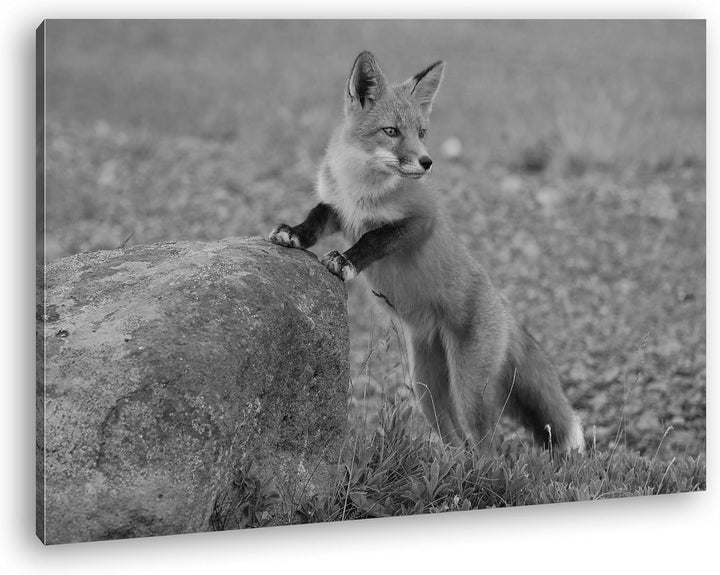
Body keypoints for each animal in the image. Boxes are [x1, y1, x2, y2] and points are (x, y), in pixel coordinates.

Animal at [269, 51, 585, 454]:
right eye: (391, 131)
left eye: (421, 133)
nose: (427, 162)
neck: (362, 186)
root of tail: (503, 307)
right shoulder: (339, 210)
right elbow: (314, 218)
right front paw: (293, 234)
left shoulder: (422, 220)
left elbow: (375, 239)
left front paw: (346, 261)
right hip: (426, 389)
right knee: (457, 441)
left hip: (469, 390)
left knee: (486, 448)